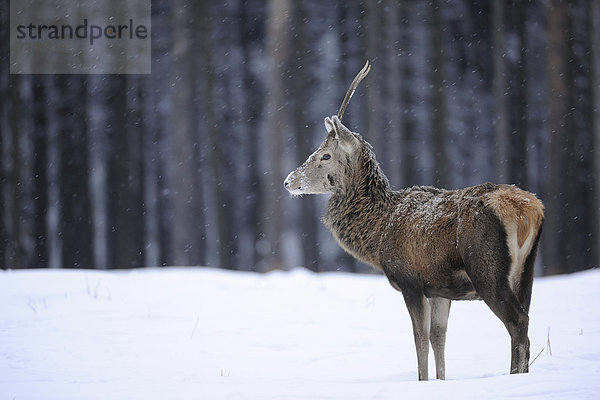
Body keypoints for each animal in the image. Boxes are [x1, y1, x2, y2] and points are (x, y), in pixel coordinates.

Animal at [284, 61, 544, 380]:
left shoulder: (410, 280)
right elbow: (438, 338)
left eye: (325, 155)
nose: (288, 181)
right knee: (526, 318)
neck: (377, 234)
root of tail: (530, 208)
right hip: (526, 270)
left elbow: (419, 339)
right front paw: (441, 380)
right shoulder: (440, 288)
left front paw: (422, 380)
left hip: (487, 269)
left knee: (517, 323)